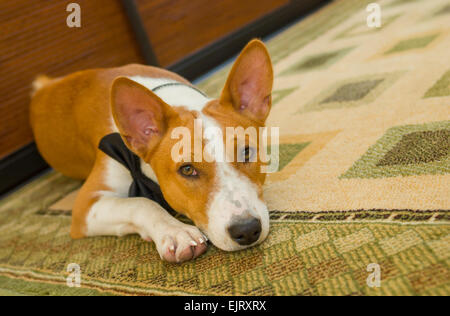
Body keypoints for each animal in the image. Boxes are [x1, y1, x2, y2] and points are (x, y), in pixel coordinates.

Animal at [30, 39, 274, 262]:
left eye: (246, 152)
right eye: (187, 169)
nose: (246, 230)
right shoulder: (85, 207)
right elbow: (141, 202)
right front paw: (176, 232)